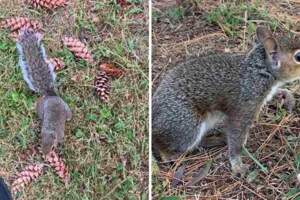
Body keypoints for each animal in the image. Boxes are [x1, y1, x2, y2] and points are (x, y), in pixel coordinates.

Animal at [152, 25, 300, 176]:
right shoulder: (245, 106)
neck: (258, 72)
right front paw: (237, 164)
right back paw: (171, 156)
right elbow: (236, 135)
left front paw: (287, 96)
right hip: (187, 125)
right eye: (298, 57)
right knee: (162, 144)